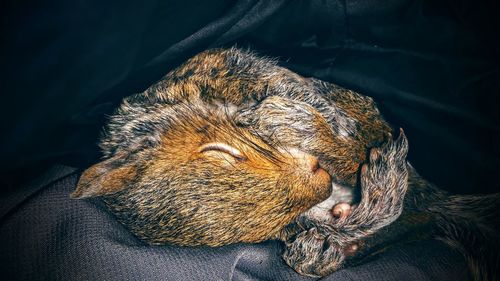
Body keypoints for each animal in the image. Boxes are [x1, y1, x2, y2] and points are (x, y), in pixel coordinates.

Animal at [71, 47, 500, 278]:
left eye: (221, 152)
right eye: (259, 231)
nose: (320, 180)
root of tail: (431, 202)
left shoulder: (225, 66)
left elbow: (330, 121)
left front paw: (300, 121)